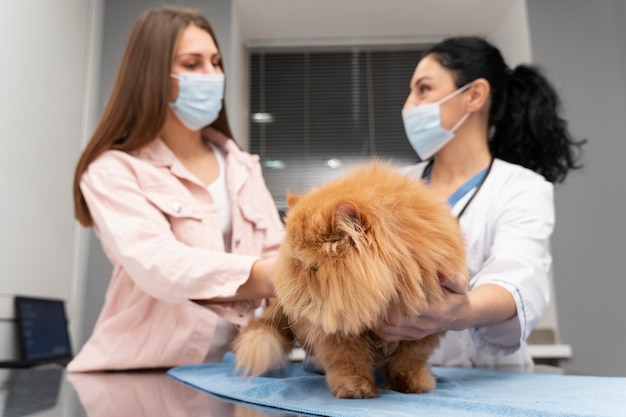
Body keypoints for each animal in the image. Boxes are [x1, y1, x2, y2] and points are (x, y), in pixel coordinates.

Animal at [232, 161, 466, 398]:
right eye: (296, 262)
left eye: (312, 267)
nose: (294, 286)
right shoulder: (337, 331)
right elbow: (348, 362)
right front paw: (356, 389)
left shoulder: (423, 327)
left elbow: (409, 360)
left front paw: (411, 384)